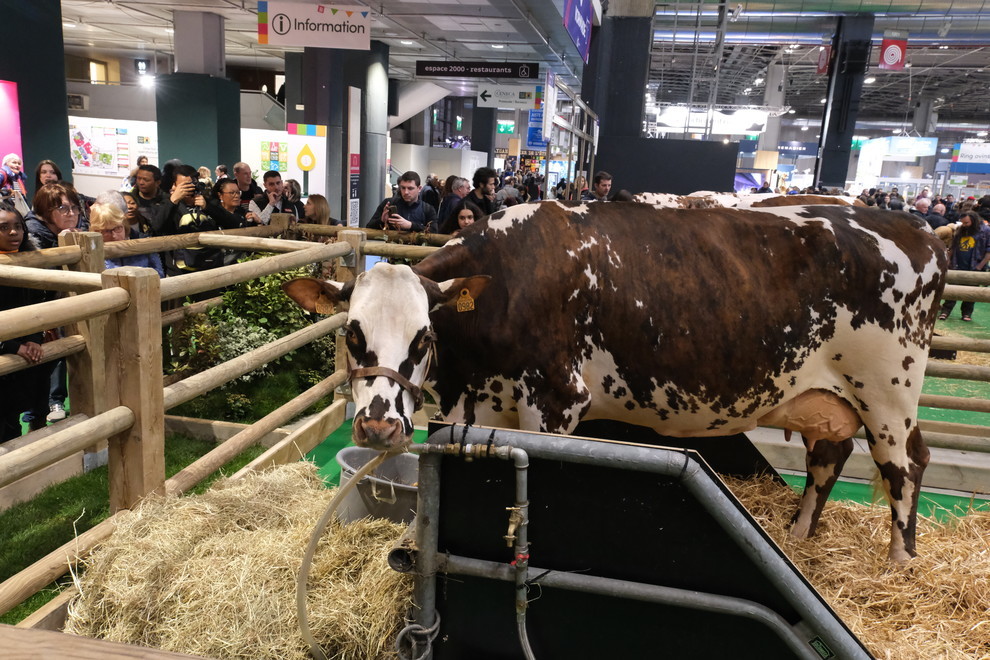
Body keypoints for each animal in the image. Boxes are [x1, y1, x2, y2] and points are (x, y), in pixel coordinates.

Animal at [282, 200, 948, 556]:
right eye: (352, 334)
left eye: (423, 337)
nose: (378, 427)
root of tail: (915, 229)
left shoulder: (555, 403)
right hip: (830, 398)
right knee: (827, 456)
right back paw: (802, 537)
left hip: (888, 395)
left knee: (906, 466)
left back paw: (899, 563)